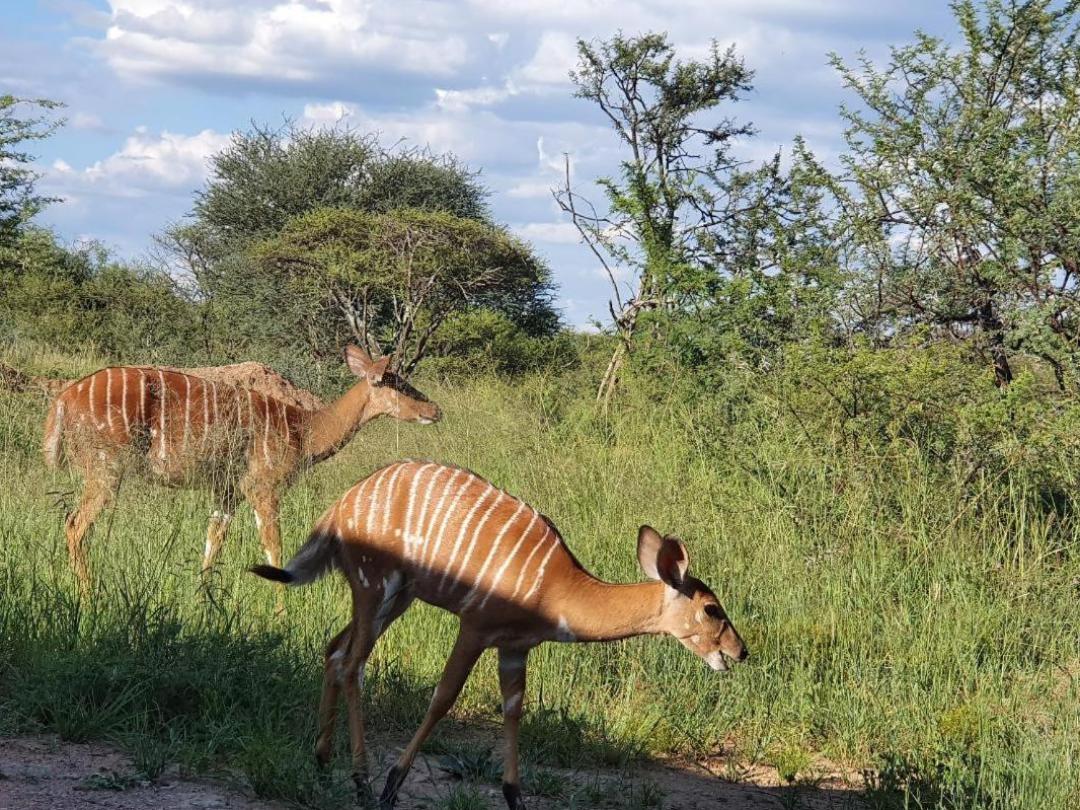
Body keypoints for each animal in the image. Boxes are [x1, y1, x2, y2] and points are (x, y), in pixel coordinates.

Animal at [42, 347, 441, 593]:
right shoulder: (263, 486)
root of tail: (64, 399)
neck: (304, 432)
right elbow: (274, 548)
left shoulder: (227, 490)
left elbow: (213, 541)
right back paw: (89, 597)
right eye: (397, 383)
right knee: (75, 524)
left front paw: (202, 600)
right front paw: (282, 615)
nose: (435, 410)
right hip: (106, 468)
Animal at [251, 460, 749, 810]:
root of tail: (340, 507)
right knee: (353, 664)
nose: (739, 651)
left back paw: (321, 763)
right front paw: (391, 785)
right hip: (375, 587)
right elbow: (443, 698)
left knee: (335, 653)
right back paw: (359, 780)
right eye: (712, 608)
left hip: (395, 598)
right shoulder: (474, 628)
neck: (556, 588)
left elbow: (513, 710)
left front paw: (514, 796)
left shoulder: (514, 649)